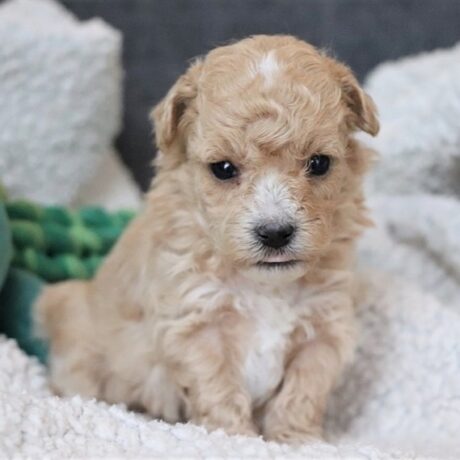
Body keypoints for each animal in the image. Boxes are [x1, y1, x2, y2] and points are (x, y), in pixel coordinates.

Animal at [35, 34, 378, 444]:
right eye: (224, 169)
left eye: (320, 163)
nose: (275, 232)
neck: (264, 286)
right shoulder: (196, 325)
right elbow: (219, 387)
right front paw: (234, 437)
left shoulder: (325, 326)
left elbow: (305, 389)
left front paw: (295, 440)